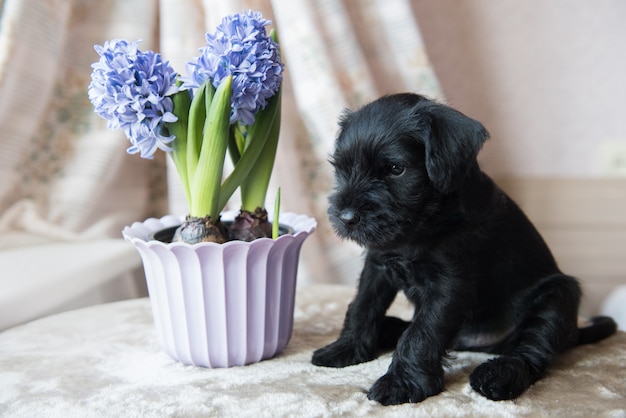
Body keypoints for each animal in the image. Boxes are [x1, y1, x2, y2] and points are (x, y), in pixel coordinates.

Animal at [312, 93, 616, 404]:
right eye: (341, 168)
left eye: (396, 169)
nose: (347, 218)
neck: (420, 227)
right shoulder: (377, 266)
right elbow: (362, 306)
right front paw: (346, 348)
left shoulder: (449, 284)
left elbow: (421, 332)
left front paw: (401, 383)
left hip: (558, 293)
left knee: (530, 351)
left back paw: (499, 375)